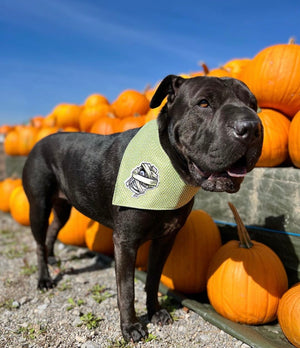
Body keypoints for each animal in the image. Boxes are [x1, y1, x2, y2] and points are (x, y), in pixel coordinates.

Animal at [22, 74, 262, 342]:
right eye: (203, 103)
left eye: (254, 105)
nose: (252, 127)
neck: (169, 164)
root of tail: (40, 142)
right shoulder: (125, 242)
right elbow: (126, 289)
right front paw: (131, 327)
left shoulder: (166, 239)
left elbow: (153, 279)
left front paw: (155, 312)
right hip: (39, 206)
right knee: (39, 243)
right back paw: (44, 278)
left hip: (63, 206)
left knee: (53, 229)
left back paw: (53, 257)